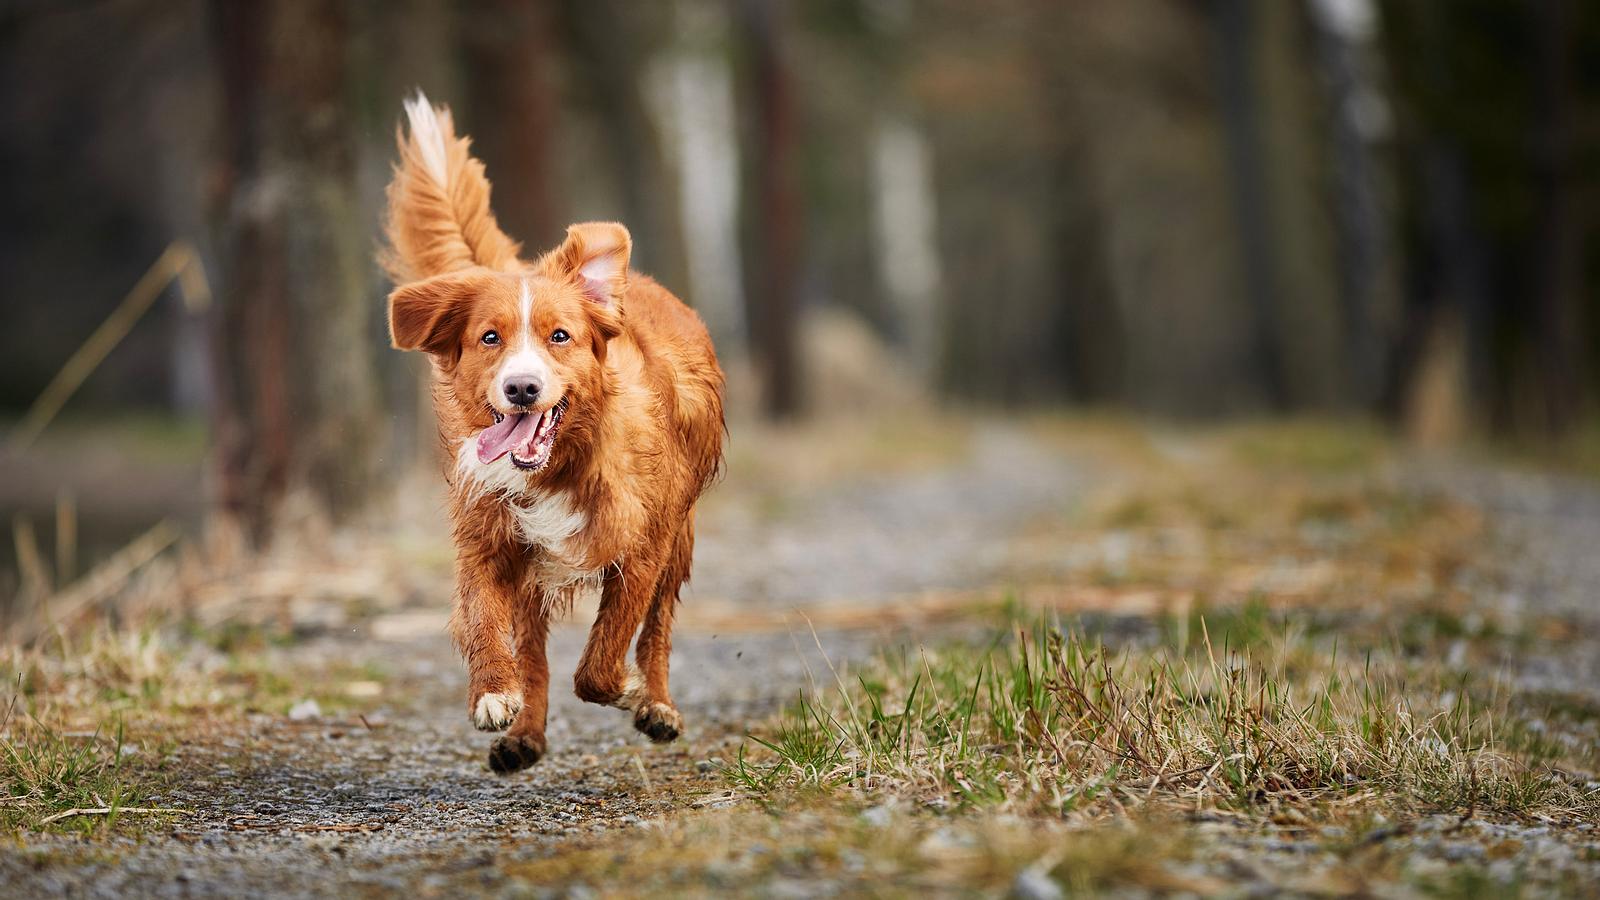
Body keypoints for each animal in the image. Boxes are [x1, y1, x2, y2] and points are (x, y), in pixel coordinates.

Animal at [380, 91, 726, 771]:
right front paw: (494, 691)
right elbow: (484, 619)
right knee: (534, 651)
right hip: (533, 573)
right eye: (490, 337)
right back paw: (527, 733)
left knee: (658, 629)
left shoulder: (642, 546)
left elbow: (603, 659)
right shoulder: (488, 538)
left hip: (681, 536)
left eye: (559, 336)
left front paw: (628, 690)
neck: (561, 465)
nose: (521, 388)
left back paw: (657, 702)